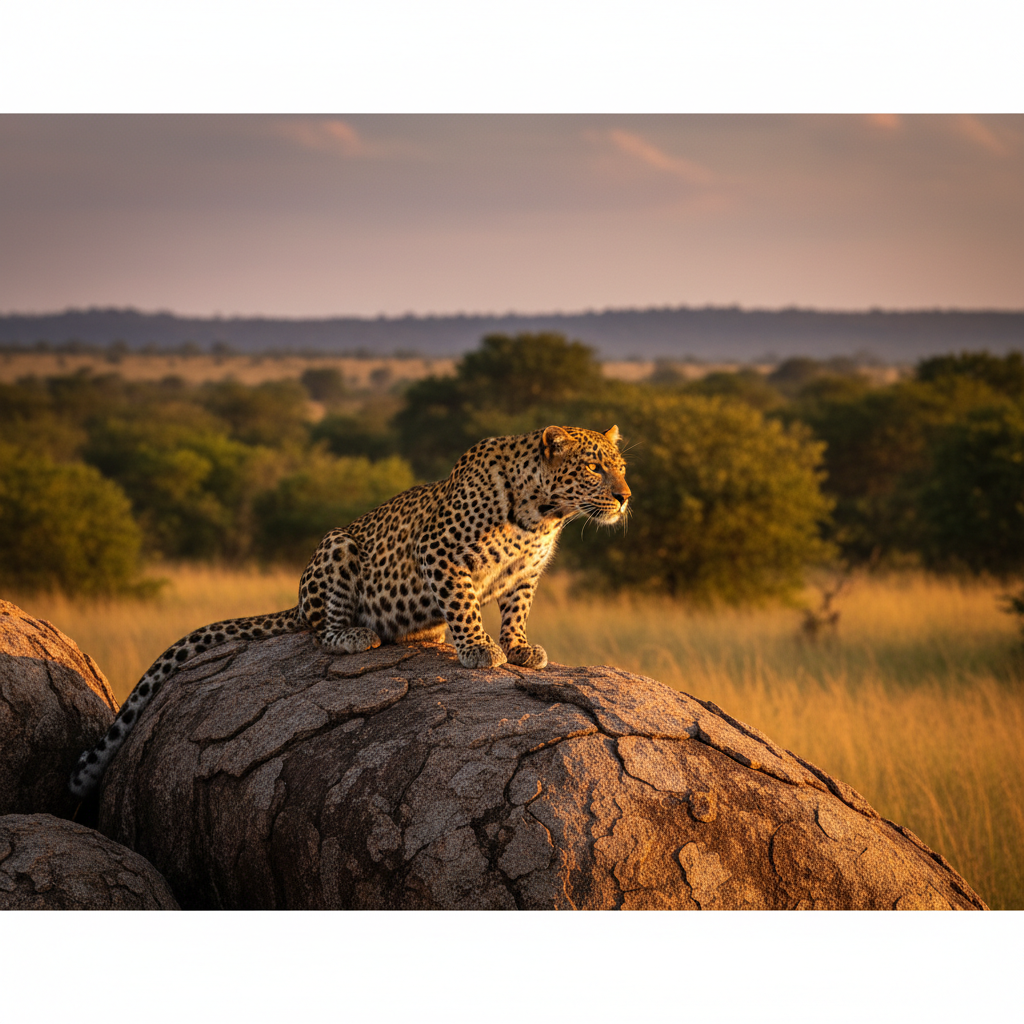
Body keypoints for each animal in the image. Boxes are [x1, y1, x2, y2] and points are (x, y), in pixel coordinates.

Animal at [69, 424, 630, 799]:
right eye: (593, 467)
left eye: (621, 468)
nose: (626, 497)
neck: (543, 515)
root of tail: (296, 602)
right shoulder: (438, 553)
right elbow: (464, 604)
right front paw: (477, 649)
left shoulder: (525, 575)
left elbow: (515, 613)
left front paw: (519, 648)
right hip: (337, 547)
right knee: (321, 629)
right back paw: (356, 635)